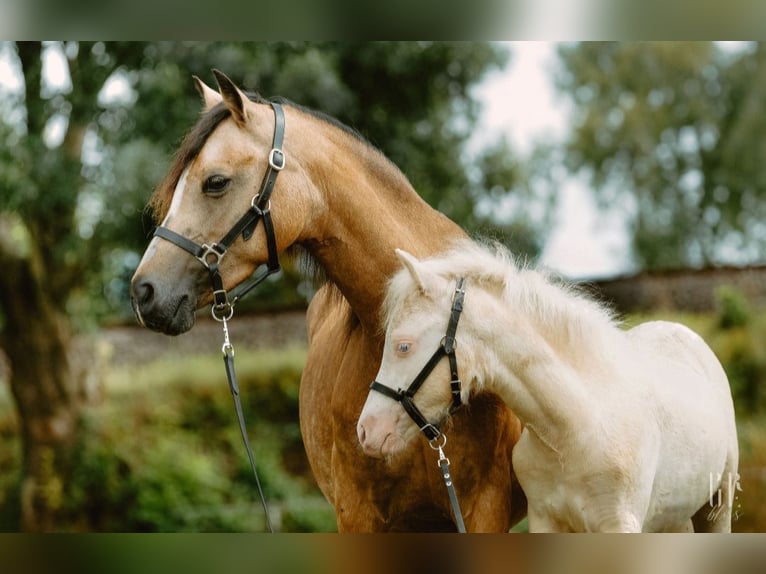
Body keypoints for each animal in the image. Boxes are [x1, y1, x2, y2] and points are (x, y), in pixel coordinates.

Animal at [358, 242, 739, 532]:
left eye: (403, 346)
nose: (366, 431)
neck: (574, 430)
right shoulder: (546, 521)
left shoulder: (620, 525)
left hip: (716, 509)